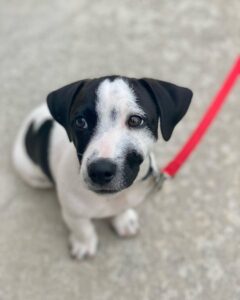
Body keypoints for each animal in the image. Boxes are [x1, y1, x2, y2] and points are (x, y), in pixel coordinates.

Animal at [13, 76, 193, 258]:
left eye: (135, 120)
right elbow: (82, 228)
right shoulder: (73, 212)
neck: (109, 198)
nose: (100, 171)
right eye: (80, 122)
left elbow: (121, 209)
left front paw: (123, 220)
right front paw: (84, 244)